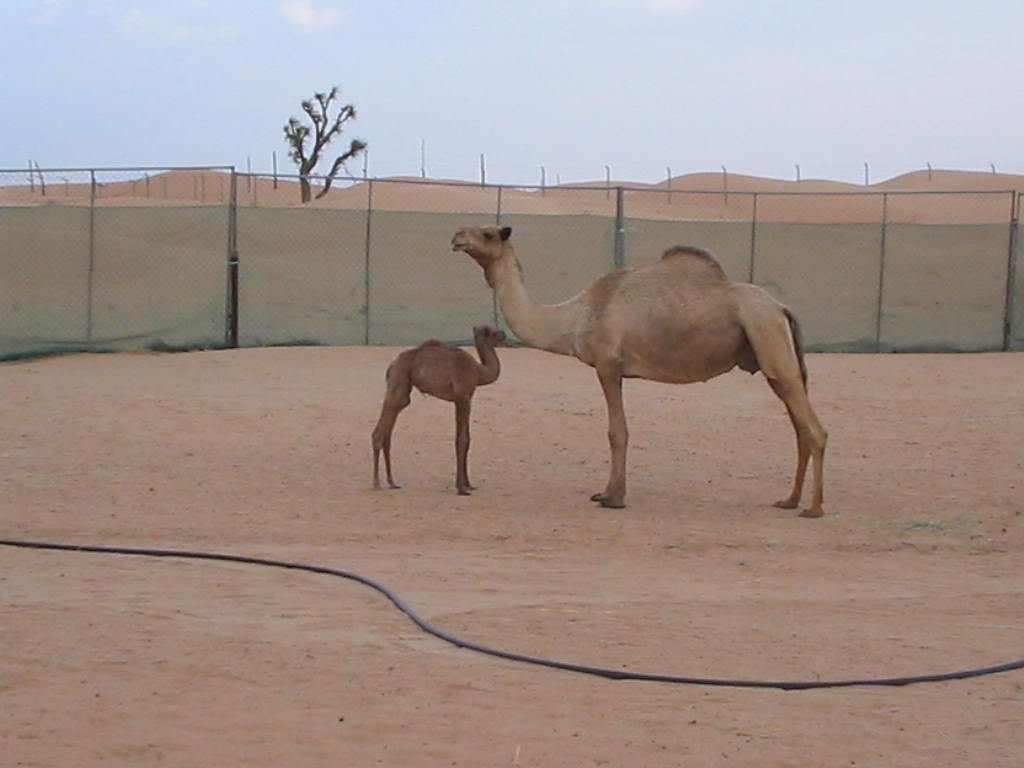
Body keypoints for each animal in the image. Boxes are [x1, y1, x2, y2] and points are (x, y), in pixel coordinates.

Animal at [372, 323, 507, 493]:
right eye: (494, 332)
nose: (504, 334)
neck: (479, 371)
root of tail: (391, 366)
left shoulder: (467, 398)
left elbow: (467, 439)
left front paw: (469, 484)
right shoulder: (462, 398)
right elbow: (462, 440)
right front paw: (461, 488)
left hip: (402, 388)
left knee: (389, 429)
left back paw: (392, 482)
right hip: (399, 379)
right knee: (380, 430)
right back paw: (377, 483)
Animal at [452, 225, 827, 520]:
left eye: (487, 233)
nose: (457, 237)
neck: (574, 317)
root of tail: (781, 307)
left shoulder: (607, 365)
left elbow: (617, 432)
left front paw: (612, 498)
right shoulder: (614, 369)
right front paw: (606, 493)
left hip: (766, 332)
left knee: (814, 429)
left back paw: (814, 508)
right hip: (771, 352)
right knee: (799, 427)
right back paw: (789, 501)